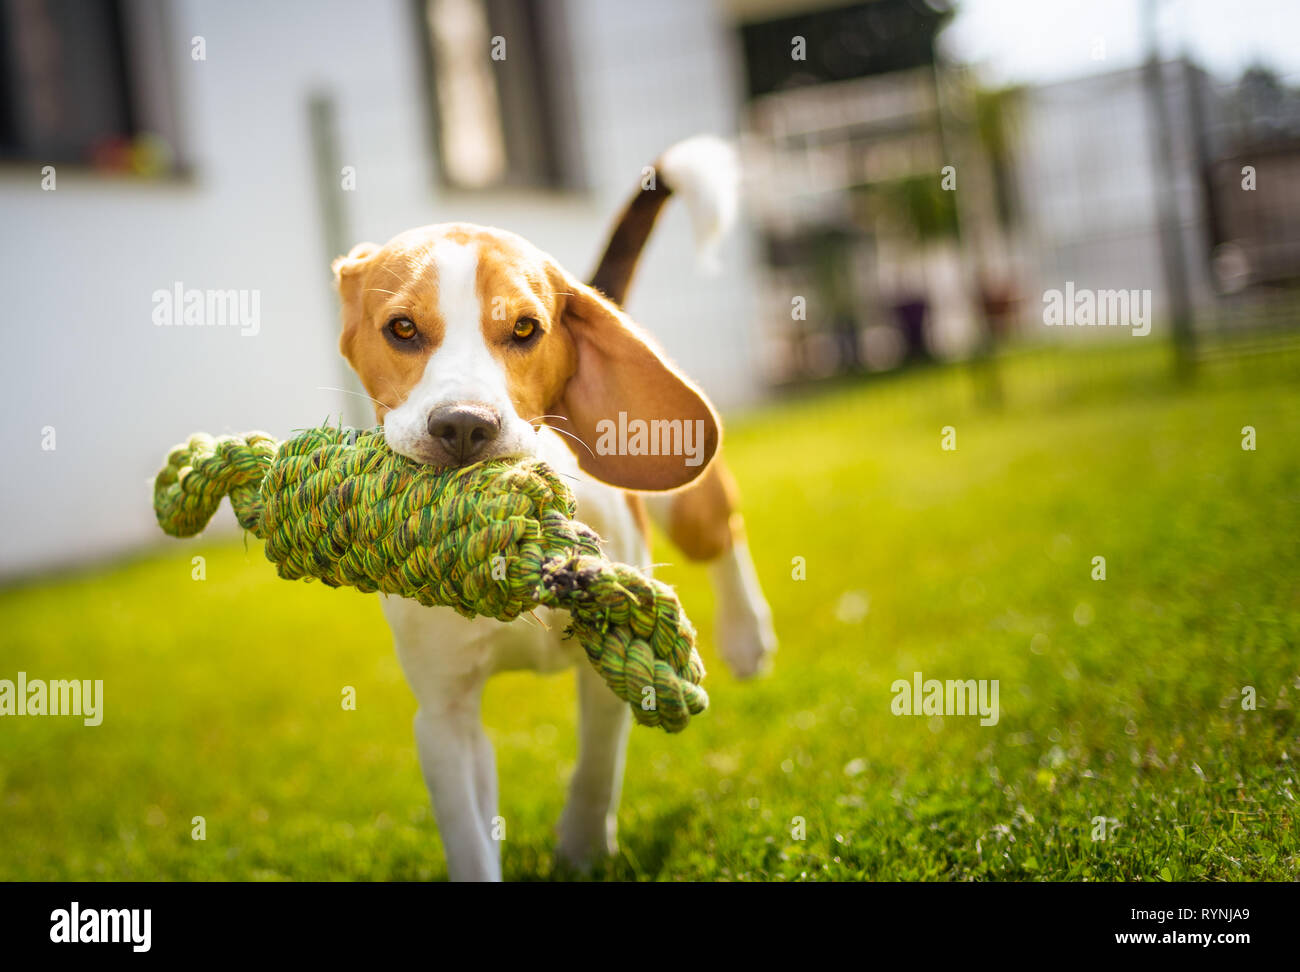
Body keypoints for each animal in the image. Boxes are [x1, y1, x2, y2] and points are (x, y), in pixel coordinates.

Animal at [332, 134, 769, 878]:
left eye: (525, 329)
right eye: (402, 329)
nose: (463, 425)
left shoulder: (610, 669)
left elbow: (597, 770)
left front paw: (584, 850)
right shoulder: (444, 715)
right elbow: (469, 833)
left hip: (687, 495)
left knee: (721, 534)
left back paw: (747, 634)